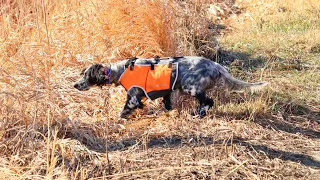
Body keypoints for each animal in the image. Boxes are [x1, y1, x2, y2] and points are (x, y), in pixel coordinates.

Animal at [74, 56, 268, 118]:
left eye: (86, 76)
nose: (75, 85)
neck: (120, 70)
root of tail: (216, 65)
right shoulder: (166, 92)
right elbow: (167, 104)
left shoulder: (134, 97)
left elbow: (126, 109)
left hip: (192, 87)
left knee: (209, 101)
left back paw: (199, 113)